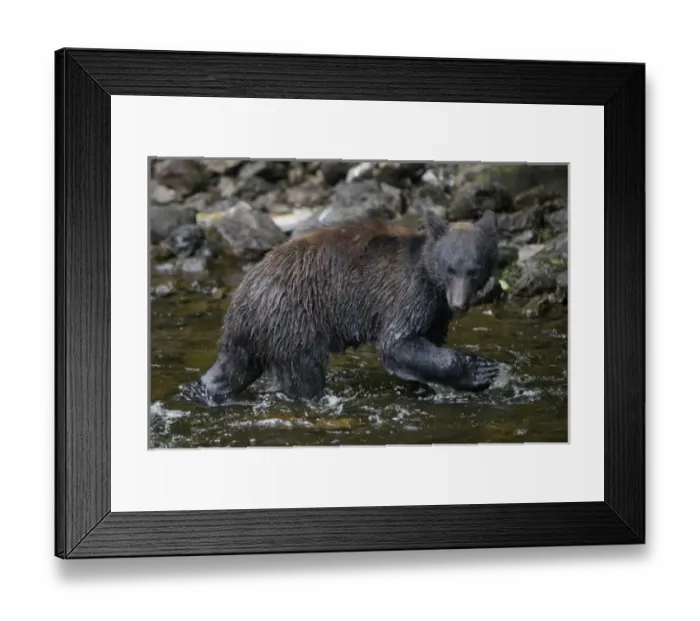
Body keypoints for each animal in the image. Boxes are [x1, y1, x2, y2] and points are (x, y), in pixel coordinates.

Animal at [198, 208, 502, 403]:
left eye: (474, 269)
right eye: (450, 269)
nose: (459, 304)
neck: (431, 279)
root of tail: (243, 297)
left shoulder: (437, 311)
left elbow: (426, 342)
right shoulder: (409, 293)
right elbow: (398, 341)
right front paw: (478, 370)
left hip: (255, 335)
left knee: (235, 368)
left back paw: (211, 387)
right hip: (292, 318)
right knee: (304, 373)